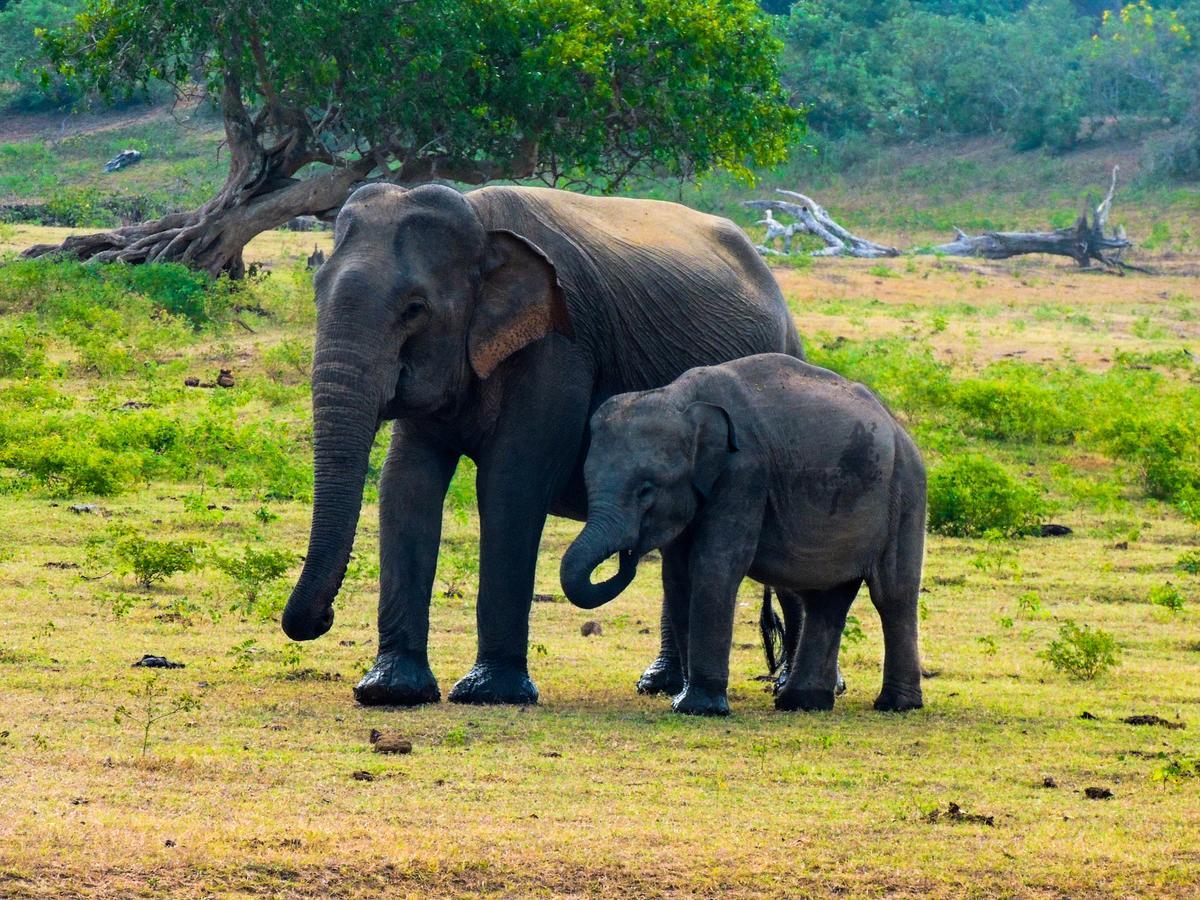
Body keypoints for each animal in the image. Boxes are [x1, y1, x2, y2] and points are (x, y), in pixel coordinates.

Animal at [280, 180, 801, 710]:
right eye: (317, 292)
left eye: (414, 309)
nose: (323, 619)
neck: (482, 226)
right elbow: (407, 483)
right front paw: (391, 691)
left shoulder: (561, 346)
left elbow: (511, 483)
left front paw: (489, 694)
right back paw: (660, 686)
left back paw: (779, 690)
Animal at [561, 355, 926, 720]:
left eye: (646, 489)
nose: (629, 554)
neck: (682, 398)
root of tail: (900, 431)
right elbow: (677, 577)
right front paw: (684, 702)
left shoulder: (745, 473)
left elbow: (716, 567)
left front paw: (699, 709)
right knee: (826, 599)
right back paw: (802, 703)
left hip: (904, 495)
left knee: (892, 595)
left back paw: (896, 705)